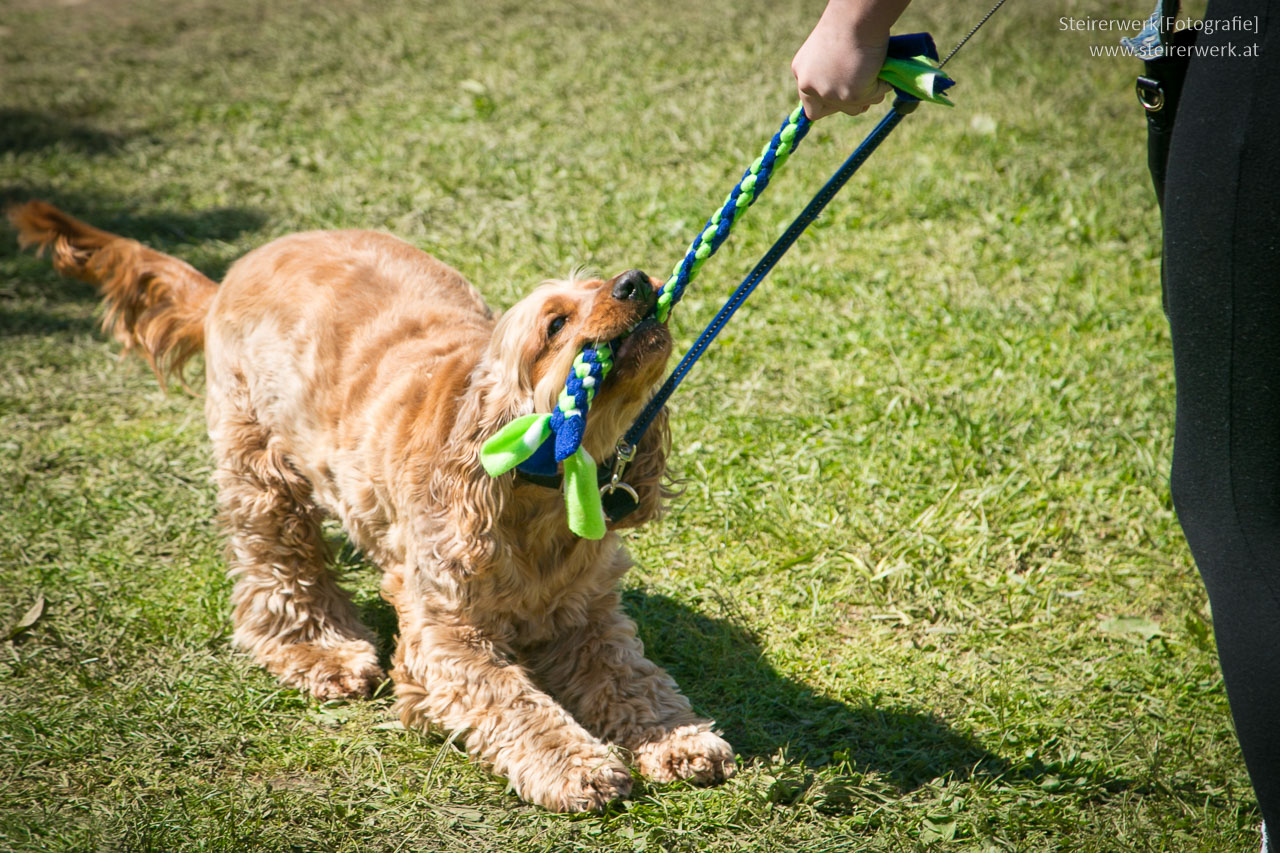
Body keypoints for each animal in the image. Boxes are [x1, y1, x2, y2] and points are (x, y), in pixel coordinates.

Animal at [10, 201, 737, 809]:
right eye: (555, 323)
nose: (636, 280)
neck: (535, 496)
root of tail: (229, 275)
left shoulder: (589, 616)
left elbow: (634, 680)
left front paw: (679, 738)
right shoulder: (443, 635)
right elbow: (513, 700)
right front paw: (577, 766)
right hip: (259, 466)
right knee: (279, 570)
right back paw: (322, 652)